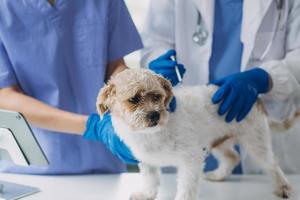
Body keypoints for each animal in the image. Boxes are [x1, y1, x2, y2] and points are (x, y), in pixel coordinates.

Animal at [96, 69, 292, 200]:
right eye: (134, 99)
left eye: (157, 97)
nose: (154, 115)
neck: (153, 135)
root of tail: (254, 95)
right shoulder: (147, 161)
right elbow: (150, 179)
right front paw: (146, 194)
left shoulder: (191, 159)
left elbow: (187, 186)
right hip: (218, 142)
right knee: (232, 157)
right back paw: (218, 175)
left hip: (255, 141)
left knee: (272, 164)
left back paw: (283, 188)